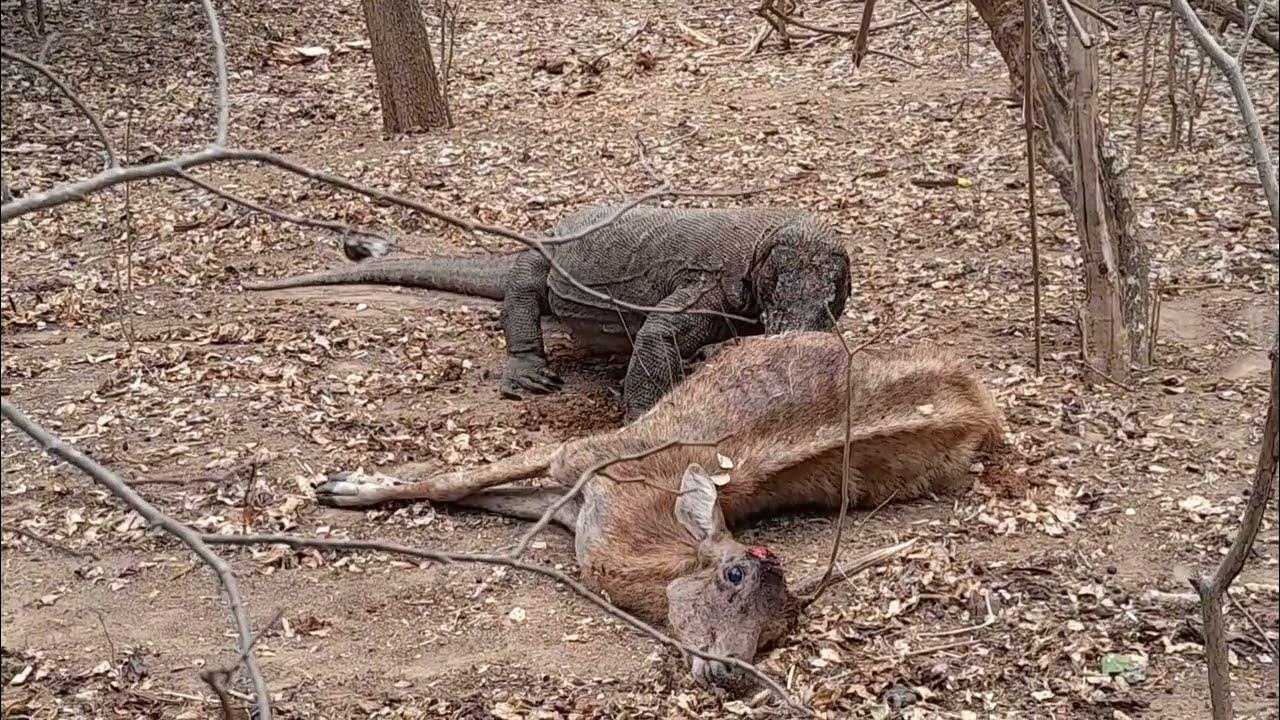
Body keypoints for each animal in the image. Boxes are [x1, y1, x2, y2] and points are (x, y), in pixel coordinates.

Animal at [313, 331, 1006, 693]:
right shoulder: (578, 458)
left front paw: (347, 485)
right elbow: (457, 481)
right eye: (734, 572)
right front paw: (342, 486)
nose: (732, 671)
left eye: (783, 626)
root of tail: (985, 408)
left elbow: (468, 491)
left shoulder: (572, 504)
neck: (633, 529)